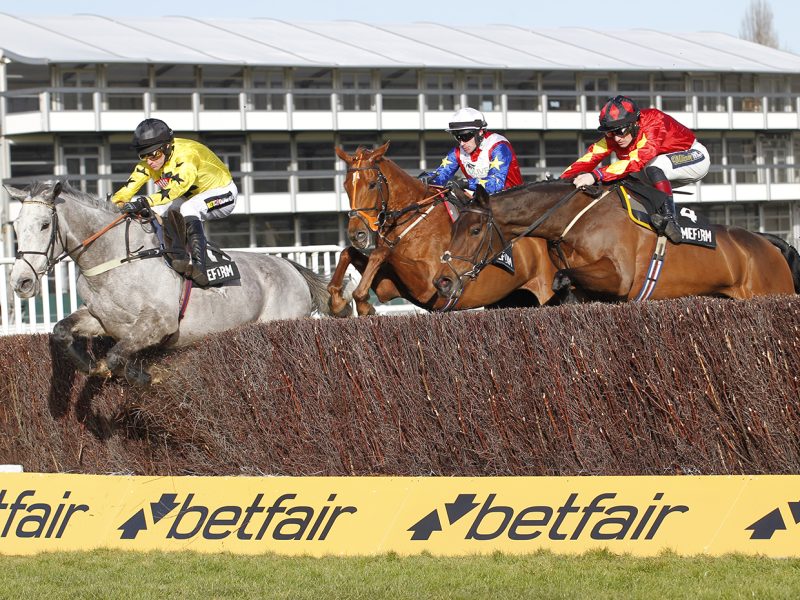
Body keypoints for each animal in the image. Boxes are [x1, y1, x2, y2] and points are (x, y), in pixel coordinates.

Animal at [6, 180, 350, 384]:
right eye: (15, 226)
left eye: (45, 224)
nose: (20, 281)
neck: (115, 258)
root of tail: (290, 267)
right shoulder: (101, 319)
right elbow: (61, 331)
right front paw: (92, 366)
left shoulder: (159, 322)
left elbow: (118, 355)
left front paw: (144, 378)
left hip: (280, 323)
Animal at [326, 143, 576, 316]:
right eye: (346, 186)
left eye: (371, 184)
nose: (357, 234)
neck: (414, 223)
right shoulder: (390, 288)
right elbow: (348, 252)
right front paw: (339, 302)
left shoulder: (430, 287)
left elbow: (381, 252)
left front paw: (358, 300)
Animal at [434, 178, 800, 300]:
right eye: (453, 228)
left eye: (475, 230)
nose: (442, 281)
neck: (576, 219)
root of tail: (767, 243)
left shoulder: (620, 277)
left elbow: (561, 278)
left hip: (770, 291)